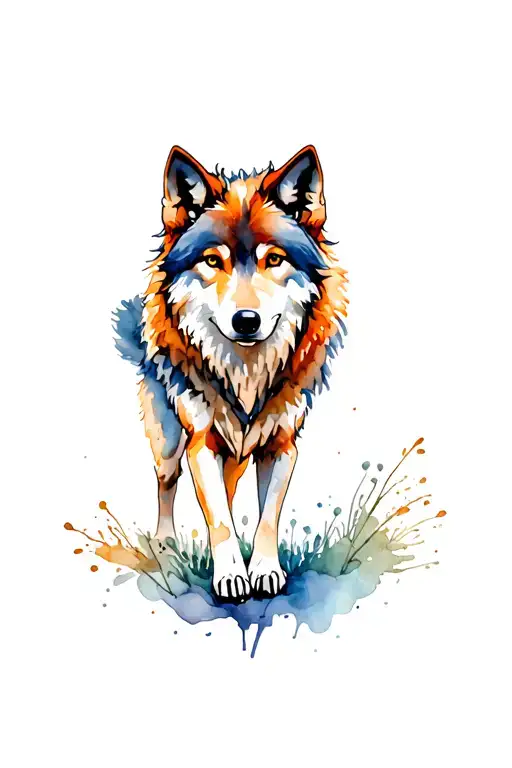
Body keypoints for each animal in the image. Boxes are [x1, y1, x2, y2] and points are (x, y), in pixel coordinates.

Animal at [114, 145, 348, 601]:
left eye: (273, 259)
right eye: (211, 260)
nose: (246, 320)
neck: (245, 373)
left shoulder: (282, 444)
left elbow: (267, 515)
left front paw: (264, 570)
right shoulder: (201, 443)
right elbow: (219, 520)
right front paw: (230, 577)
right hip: (169, 442)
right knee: (168, 486)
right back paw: (166, 546)